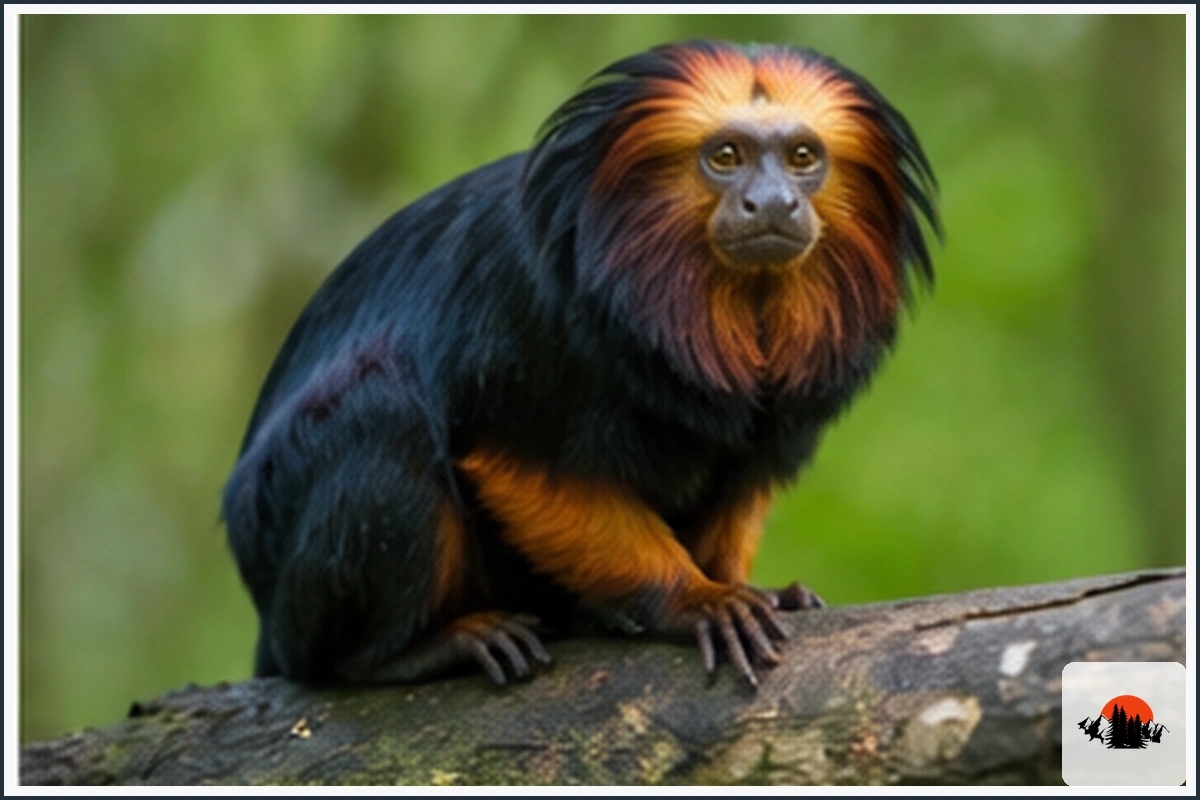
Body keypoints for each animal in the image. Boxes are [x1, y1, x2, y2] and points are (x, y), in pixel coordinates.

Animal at [222, 40, 939, 688]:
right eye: (727, 157)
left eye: (801, 158)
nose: (773, 203)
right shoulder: (522, 320)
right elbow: (528, 468)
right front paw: (695, 598)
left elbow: (743, 472)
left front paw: (742, 584)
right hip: (288, 578)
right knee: (379, 408)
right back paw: (405, 653)